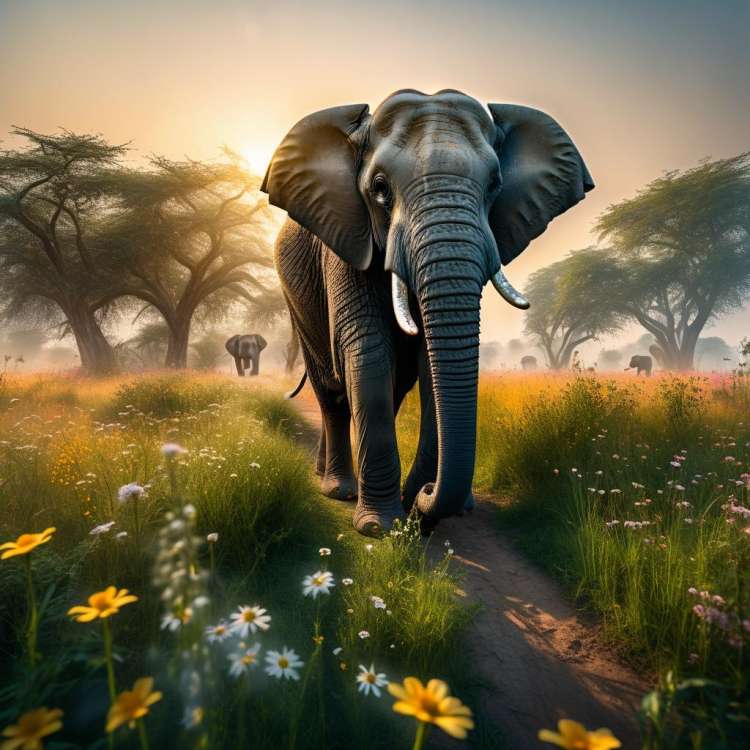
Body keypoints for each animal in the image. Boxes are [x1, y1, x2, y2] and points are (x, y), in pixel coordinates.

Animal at [262, 89, 593, 536]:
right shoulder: (347, 239)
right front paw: (379, 527)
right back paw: (339, 489)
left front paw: (418, 510)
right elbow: (367, 350)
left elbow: (427, 363)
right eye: (379, 189)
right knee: (331, 392)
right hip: (295, 300)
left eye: (495, 185)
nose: (423, 495)